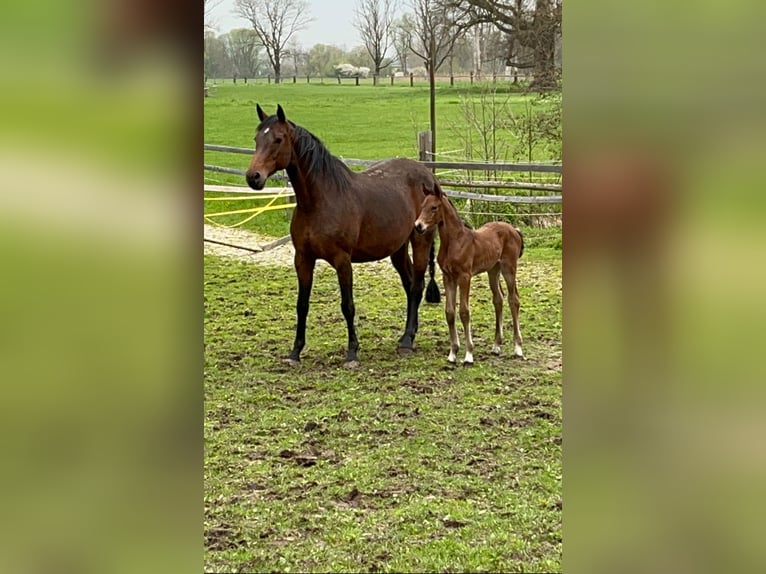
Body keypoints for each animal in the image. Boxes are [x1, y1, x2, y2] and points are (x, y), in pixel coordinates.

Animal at [246, 105, 438, 366]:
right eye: (257, 139)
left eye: (278, 139)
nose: (253, 177)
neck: (319, 201)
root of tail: (428, 176)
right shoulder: (303, 259)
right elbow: (302, 305)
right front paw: (295, 352)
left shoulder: (342, 260)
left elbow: (347, 305)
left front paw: (352, 353)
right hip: (397, 248)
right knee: (409, 286)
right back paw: (407, 335)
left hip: (420, 241)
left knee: (417, 286)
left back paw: (407, 341)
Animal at [414, 186, 528, 364]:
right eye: (422, 205)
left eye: (434, 207)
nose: (418, 226)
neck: (455, 241)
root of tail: (514, 230)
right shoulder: (448, 277)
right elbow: (450, 312)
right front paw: (453, 353)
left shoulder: (464, 277)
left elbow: (464, 312)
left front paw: (468, 354)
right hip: (493, 270)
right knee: (498, 299)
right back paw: (496, 346)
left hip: (509, 268)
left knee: (513, 300)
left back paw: (518, 348)